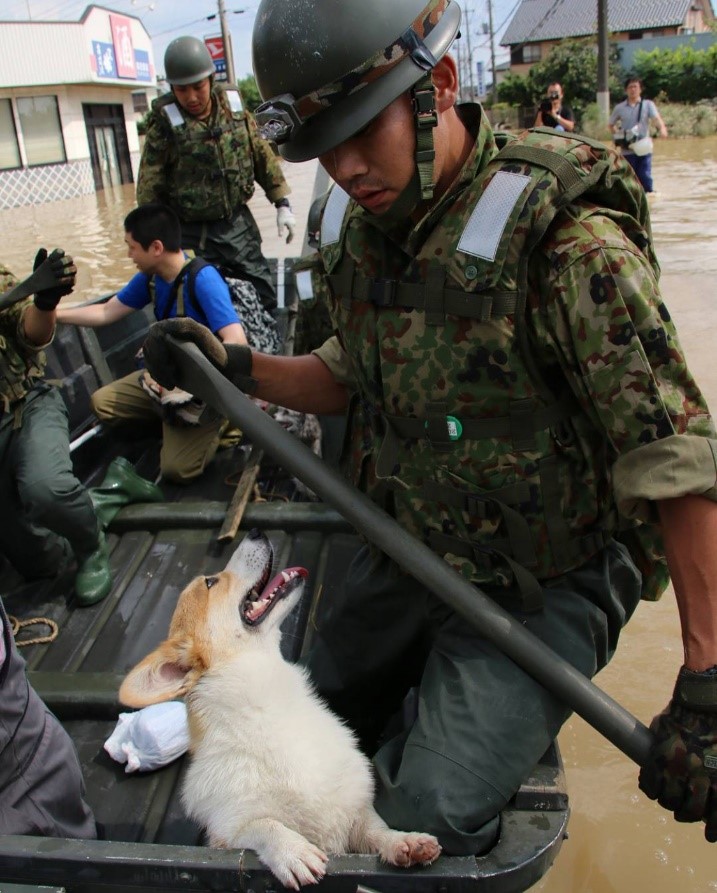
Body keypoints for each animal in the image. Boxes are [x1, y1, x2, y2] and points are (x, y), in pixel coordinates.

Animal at [120, 528, 440, 884]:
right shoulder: (229, 834)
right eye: (211, 582)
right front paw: (293, 851)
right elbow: (265, 825)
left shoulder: (354, 812)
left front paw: (404, 841)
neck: (264, 705)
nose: (255, 530)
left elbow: (376, 828)